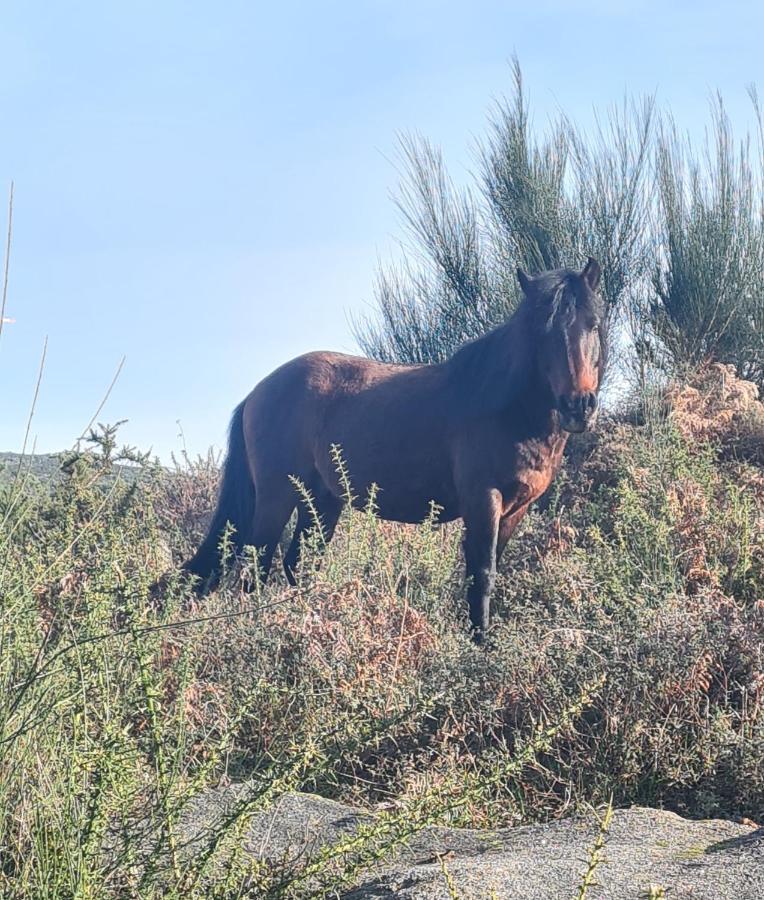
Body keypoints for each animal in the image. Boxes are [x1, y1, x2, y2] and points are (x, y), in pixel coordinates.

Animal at [182, 258, 604, 640]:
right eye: (541, 331)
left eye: (593, 324)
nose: (578, 406)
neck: (505, 405)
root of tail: (257, 393)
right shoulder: (484, 499)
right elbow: (480, 574)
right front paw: (478, 645)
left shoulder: (516, 509)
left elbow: (490, 570)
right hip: (276, 498)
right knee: (256, 565)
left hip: (321, 503)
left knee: (297, 563)